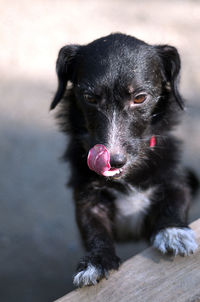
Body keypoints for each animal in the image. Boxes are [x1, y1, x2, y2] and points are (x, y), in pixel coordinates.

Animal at [50, 33, 198, 288]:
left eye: (140, 98)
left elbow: (175, 200)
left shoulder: (174, 179)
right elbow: (95, 231)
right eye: (89, 97)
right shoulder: (88, 199)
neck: (129, 175)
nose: (113, 161)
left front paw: (174, 232)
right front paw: (96, 261)